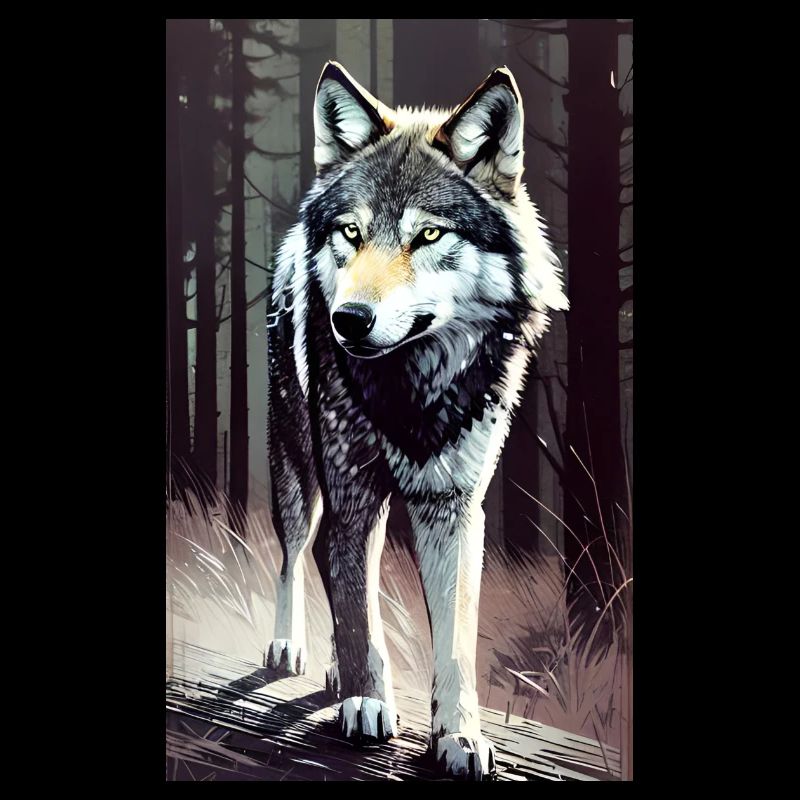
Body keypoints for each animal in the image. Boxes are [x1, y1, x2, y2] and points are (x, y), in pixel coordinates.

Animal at [264, 61, 567, 780]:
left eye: (428, 234)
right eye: (351, 232)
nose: (348, 320)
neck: (412, 388)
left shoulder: (453, 509)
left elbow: (453, 643)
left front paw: (459, 738)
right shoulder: (351, 494)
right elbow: (356, 608)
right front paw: (366, 703)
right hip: (298, 472)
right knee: (299, 555)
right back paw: (293, 650)